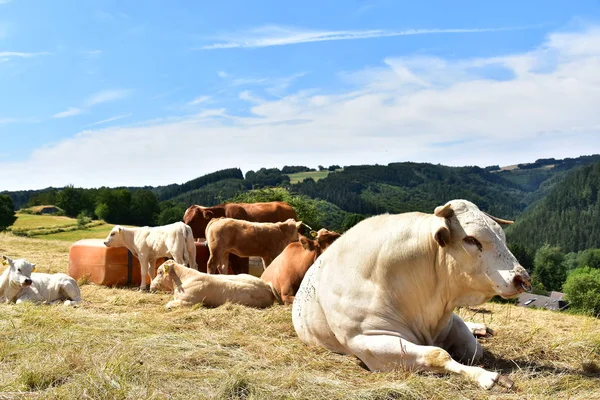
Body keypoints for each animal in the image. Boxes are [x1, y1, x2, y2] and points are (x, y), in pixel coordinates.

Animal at [292, 200, 532, 390]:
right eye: (471, 240)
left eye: (502, 237)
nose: (522, 279)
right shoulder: (366, 340)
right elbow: (438, 354)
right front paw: (487, 376)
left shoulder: (449, 321)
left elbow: (475, 350)